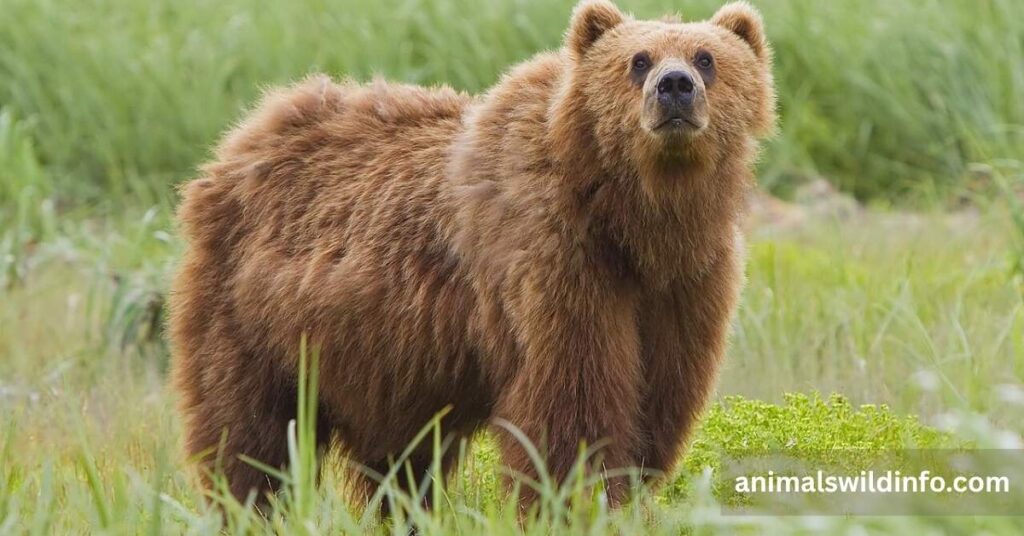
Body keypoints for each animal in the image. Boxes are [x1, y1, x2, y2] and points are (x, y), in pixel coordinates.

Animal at [168, 0, 775, 510]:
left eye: (706, 57)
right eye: (637, 60)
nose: (674, 86)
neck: (634, 222)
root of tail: (244, 136)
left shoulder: (686, 284)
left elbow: (659, 398)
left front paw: (629, 492)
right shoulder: (555, 261)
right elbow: (572, 405)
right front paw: (576, 498)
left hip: (384, 361)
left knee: (399, 460)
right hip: (252, 316)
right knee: (250, 432)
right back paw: (247, 504)